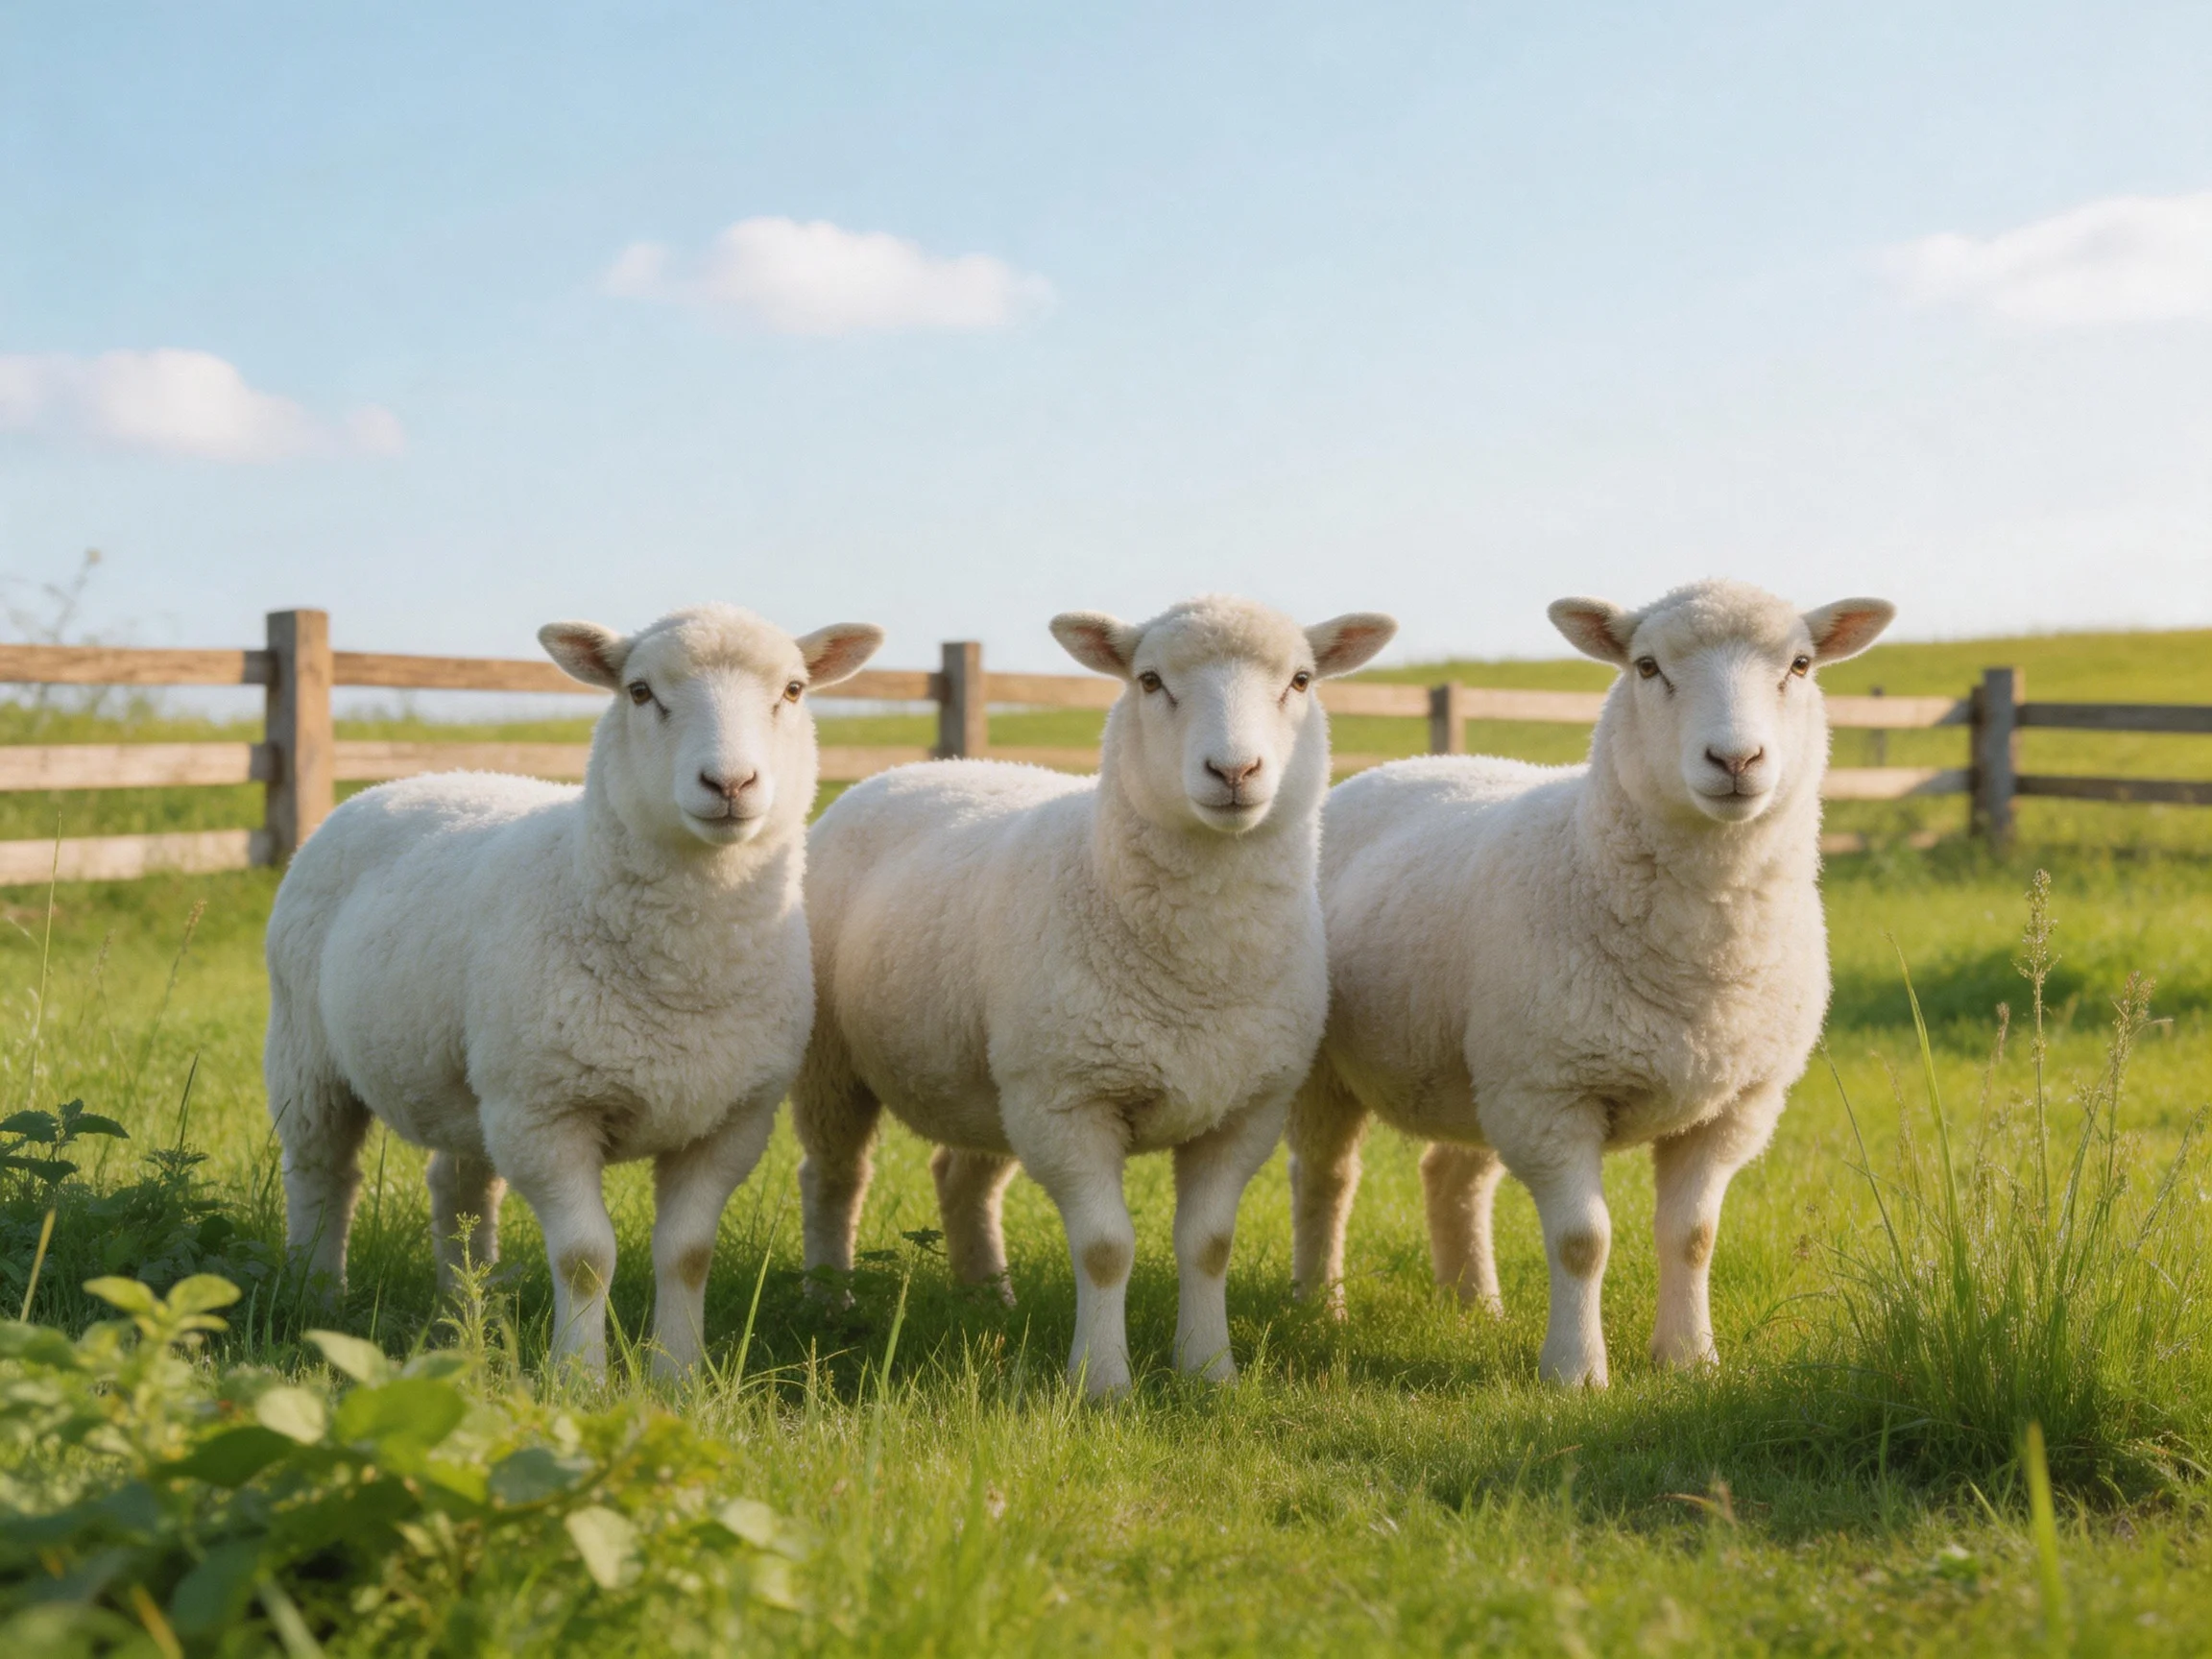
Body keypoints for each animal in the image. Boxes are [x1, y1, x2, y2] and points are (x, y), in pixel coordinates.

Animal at [263, 603, 883, 1378]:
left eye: (794, 690)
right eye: (640, 691)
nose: (730, 784)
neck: (683, 976)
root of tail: (408, 779)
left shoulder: (730, 1120)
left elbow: (688, 1254)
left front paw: (679, 1375)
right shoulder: (546, 1113)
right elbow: (586, 1257)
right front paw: (580, 1378)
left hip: (474, 1079)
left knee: (457, 1187)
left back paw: (469, 1310)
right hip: (307, 1053)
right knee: (322, 1174)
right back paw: (317, 1294)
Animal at [794, 595, 1397, 1395]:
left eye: (1301, 680)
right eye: (1149, 680)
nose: (1234, 770)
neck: (1195, 973)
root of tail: (908, 772)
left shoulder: (1244, 1107)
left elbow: (1210, 1244)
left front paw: (1209, 1373)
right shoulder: (1071, 1101)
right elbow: (1106, 1249)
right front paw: (1103, 1384)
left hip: (996, 1080)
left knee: (960, 1178)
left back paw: (987, 1299)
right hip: (839, 1062)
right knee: (834, 1176)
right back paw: (829, 1302)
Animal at [1288, 579, 1893, 1386]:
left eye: (1800, 665)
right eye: (1646, 666)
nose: (1736, 758)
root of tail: (1392, 766)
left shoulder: (1732, 1104)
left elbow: (1693, 1235)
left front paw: (1689, 1359)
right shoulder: (1552, 1093)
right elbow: (1583, 1241)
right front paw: (1574, 1373)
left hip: (1480, 1067)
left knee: (1451, 1175)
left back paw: (1474, 1305)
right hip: (1340, 1068)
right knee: (1325, 1178)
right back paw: (1320, 1305)